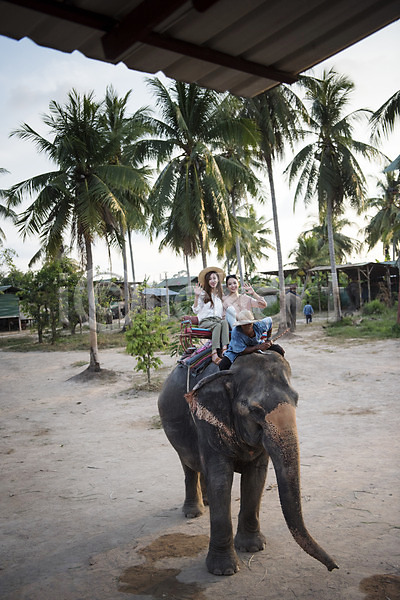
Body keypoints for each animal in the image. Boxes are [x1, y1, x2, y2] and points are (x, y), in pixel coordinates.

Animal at [157, 352, 338, 576]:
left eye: (296, 400)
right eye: (254, 410)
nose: (333, 567)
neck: (228, 374)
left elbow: (256, 477)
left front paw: (253, 547)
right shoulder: (208, 424)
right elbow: (220, 479)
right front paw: (224, 570)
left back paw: (206, 502)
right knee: (188, 465)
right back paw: (193, 512)